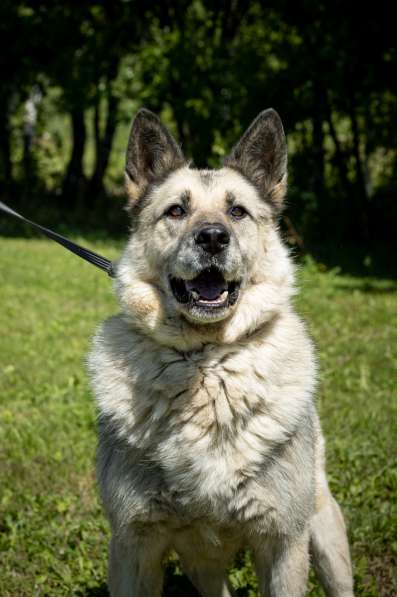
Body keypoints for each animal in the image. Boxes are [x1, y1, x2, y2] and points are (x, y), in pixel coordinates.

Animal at [87, 108, 352, 596]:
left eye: (237, 211)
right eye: (177, 210)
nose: (212, 238)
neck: (207, 363)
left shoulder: (283, 544)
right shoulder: (134, 546)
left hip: (324, 532)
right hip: (202, 564)